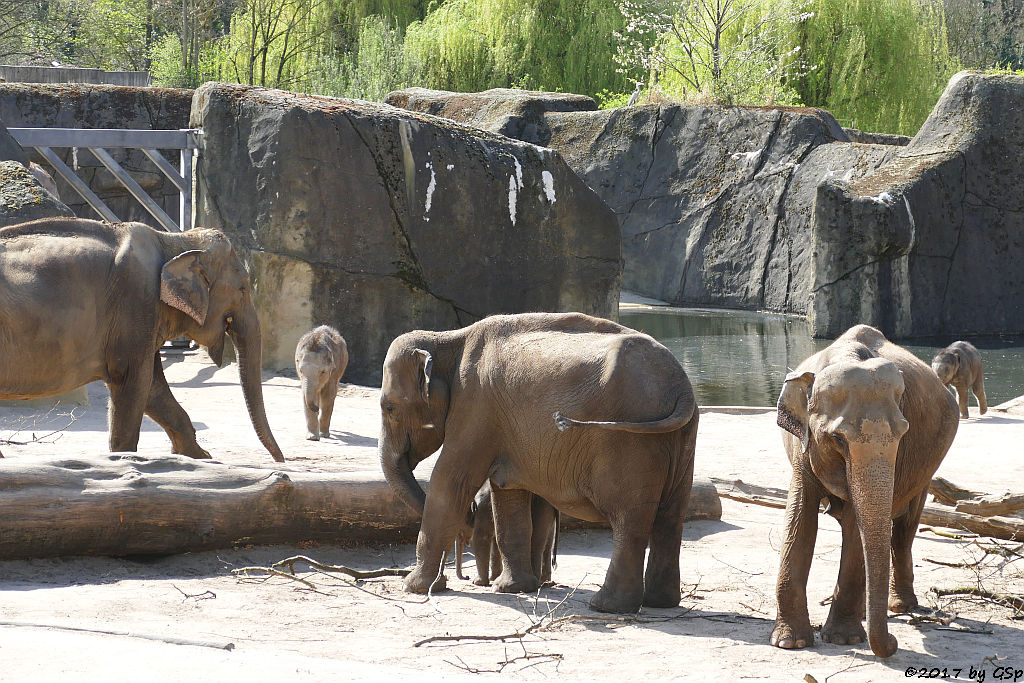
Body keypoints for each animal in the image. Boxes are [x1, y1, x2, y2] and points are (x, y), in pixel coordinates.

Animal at [0, 218, 284, 464]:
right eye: (243, 289)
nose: (282, 460)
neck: (173, 240)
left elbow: (154, 389)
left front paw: (201, 458)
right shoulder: (136, 303)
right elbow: (133, 381)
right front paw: (123, 461)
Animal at [380, 313, 700, 610]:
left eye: (390, 408)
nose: (454, 579)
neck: (448, 339)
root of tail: (681, 387)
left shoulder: (475, 407)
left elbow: (450, 482)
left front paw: (413, 587)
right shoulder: (498, 422)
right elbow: (506, 490)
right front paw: (512, 588)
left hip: (632, 442)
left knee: (629, 518)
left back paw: (605, 605)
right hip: (681, 438)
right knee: (671, 517)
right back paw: (661, 602)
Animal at [774, 327, 958, 659]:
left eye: (903, 433)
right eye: (837, 438)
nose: (894, 643)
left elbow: (854, 525)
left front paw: (844, 640)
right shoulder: (803, 445)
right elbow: (800, 519)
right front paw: (790, 643)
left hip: (927, 468)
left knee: (904, 529)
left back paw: (898, 607)